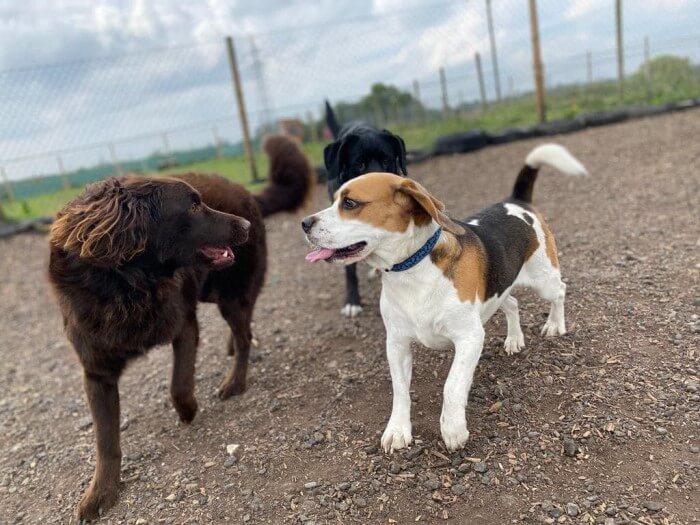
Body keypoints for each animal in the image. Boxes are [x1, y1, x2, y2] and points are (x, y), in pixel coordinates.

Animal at [47, 135, 310, 520]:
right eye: (193, 206)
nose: (245, 227)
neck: (128, 287)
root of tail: (246, 192)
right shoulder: (96, 372)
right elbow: (106, 441)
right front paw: (101, 493)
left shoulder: (184, 325)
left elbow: (179, 385)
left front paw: (188, 411)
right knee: (243, 332)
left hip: (229, 294)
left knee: (245, 335)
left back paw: (235, 381)